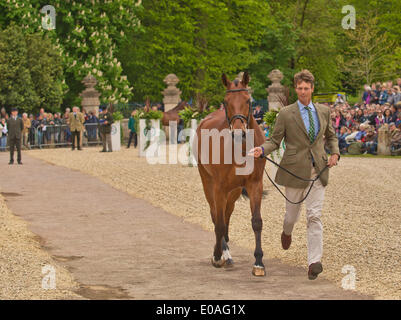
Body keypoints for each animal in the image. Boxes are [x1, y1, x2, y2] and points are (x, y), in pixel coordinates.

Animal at [193, 71, 266, 276]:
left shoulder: (255, 184)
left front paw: (258, 262)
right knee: (216, 216)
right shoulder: (218, 188)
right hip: (208, 183)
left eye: (248, 100)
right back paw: (222, 253)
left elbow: (256, 221)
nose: (239, 133)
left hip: (233, 191)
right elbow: (218, 223)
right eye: (226, 102)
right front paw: (217, 256)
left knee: (226, 215)